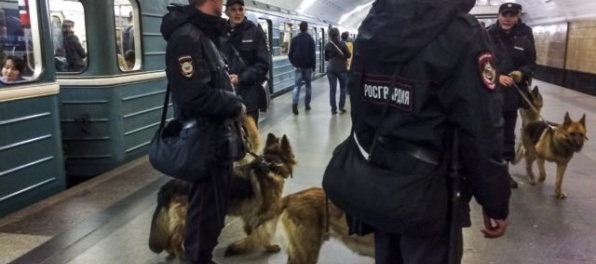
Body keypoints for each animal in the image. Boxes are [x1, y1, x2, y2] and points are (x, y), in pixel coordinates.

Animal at [147, 133, 298, 260]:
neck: (272, 165)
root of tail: (170, 185)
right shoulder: (264, 212)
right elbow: (263, 232)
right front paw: (268, 246)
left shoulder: (250, 213)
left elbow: (252, 229)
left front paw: (247, 241)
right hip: (188, 220)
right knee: (174, 239)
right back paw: (182, 256)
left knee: (170, 238)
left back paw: (172, 253)